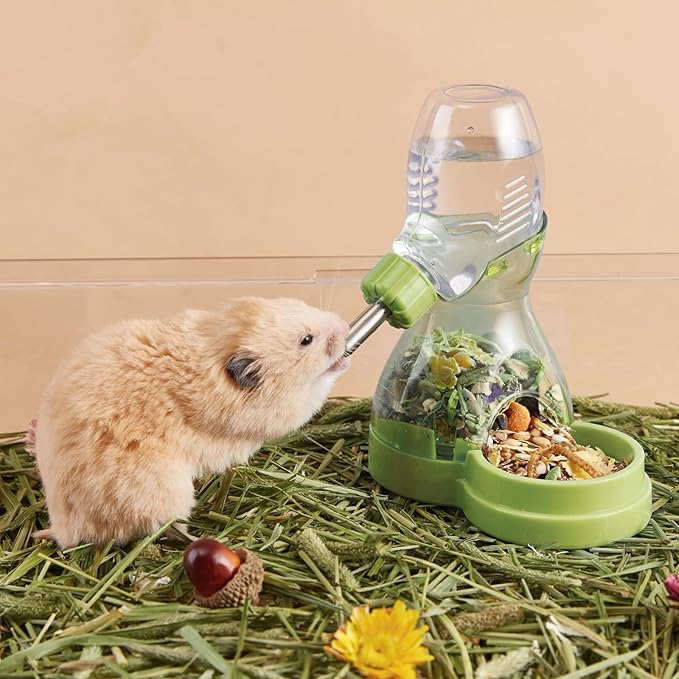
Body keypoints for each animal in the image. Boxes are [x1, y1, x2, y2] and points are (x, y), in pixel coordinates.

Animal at [33, 297, 350, 549]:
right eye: (306, 340)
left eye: (303, 304)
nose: (346, 326)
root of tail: (64, 529)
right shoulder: (279, 411)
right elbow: (316, 392)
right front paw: (343, 361)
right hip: (168, 492)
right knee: (170, 530)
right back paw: (208, 539)